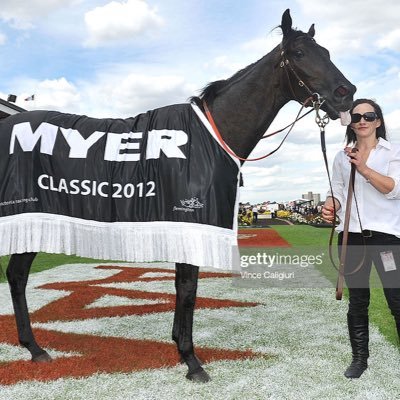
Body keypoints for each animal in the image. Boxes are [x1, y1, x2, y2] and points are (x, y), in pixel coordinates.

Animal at [2, 10, 354, 384]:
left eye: (326, 51)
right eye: (299, 54)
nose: (347, 93)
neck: (211, 134)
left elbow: (182, 288)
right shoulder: (191, 220)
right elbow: (187, 290)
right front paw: (191, 360)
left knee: (17, 276)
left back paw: (34, 347)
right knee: (17, 276)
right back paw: (34, 346)